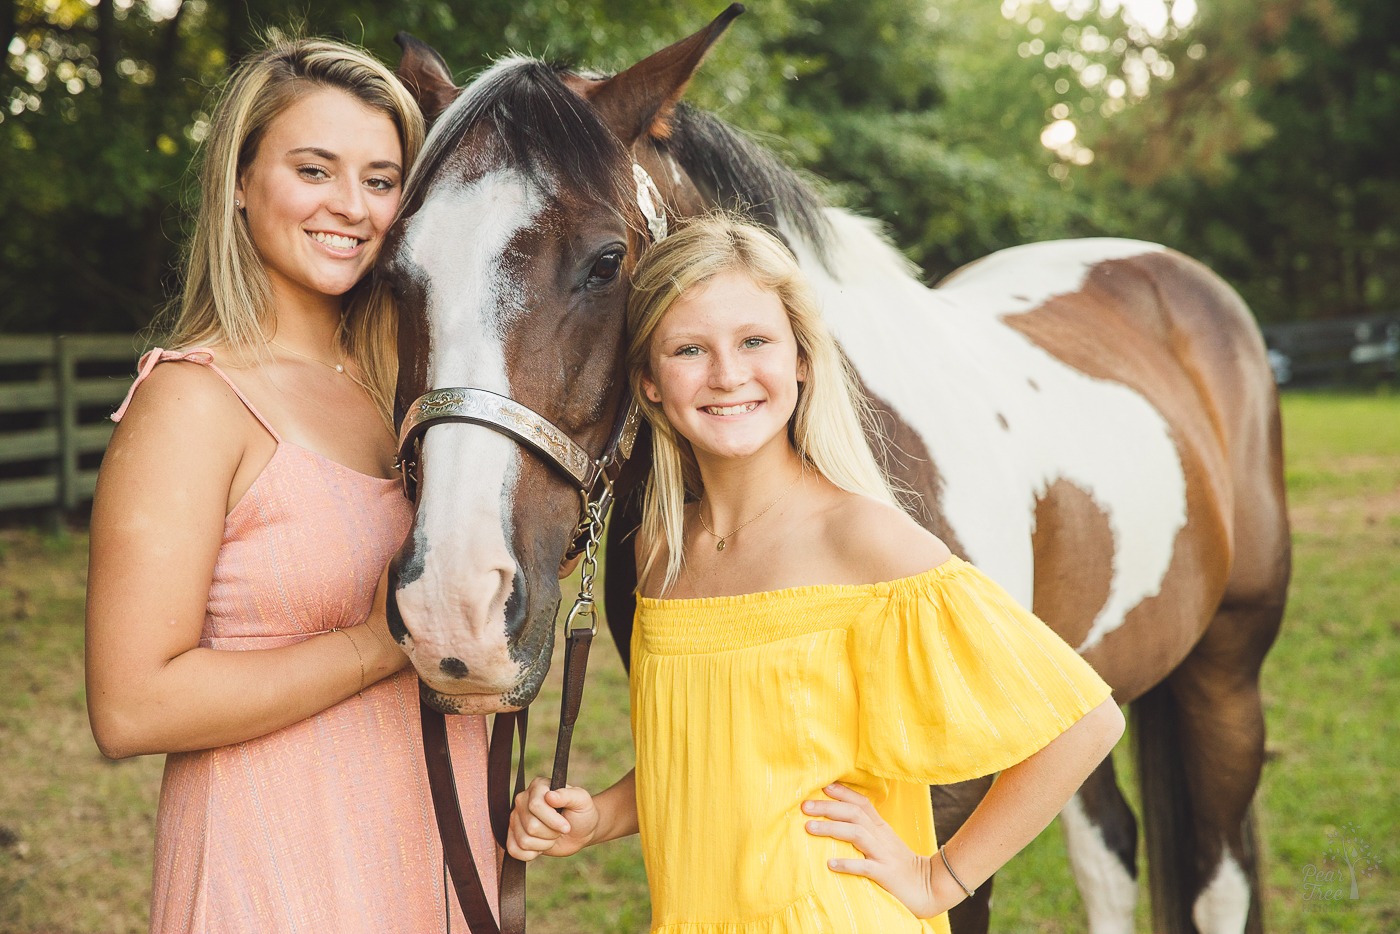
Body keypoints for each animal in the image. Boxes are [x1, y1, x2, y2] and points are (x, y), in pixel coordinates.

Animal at [380, 9, 1288, 934]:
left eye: (604, 262)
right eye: (394, 272)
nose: (455, 613)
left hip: (1224, 675)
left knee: (1218, 879)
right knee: (1109, 853)